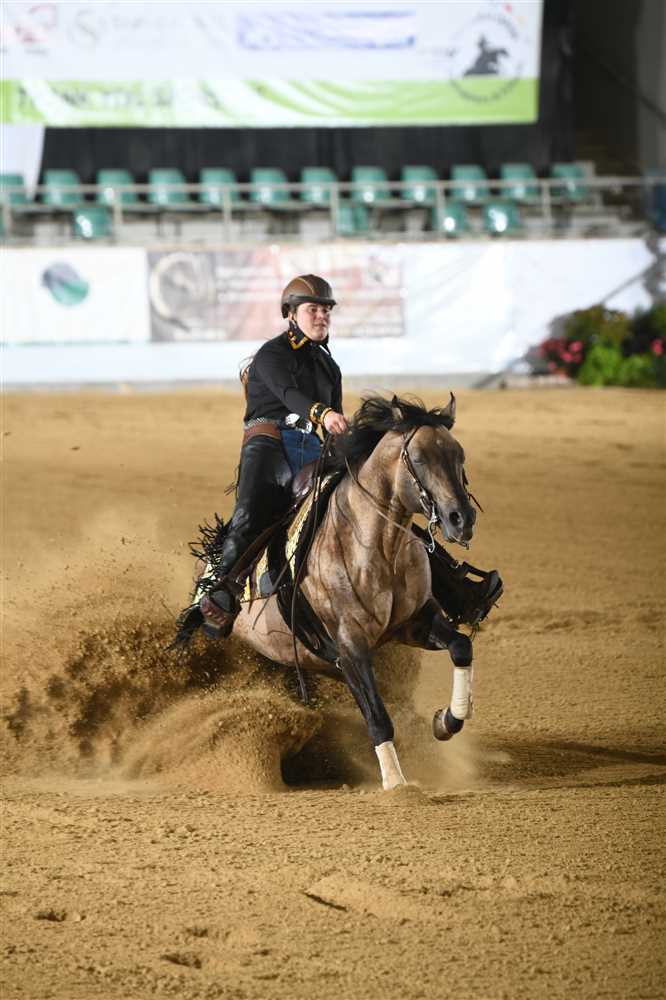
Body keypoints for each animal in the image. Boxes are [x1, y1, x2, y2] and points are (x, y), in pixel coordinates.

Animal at [223, 393, 489, 791]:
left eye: (459, 455)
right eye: (420, 458)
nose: (462, 519)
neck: (378, 548)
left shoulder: (415, 622)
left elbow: (460, 647)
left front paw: (446, 720)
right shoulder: (350, 646)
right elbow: (377, 716)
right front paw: (396, 784)